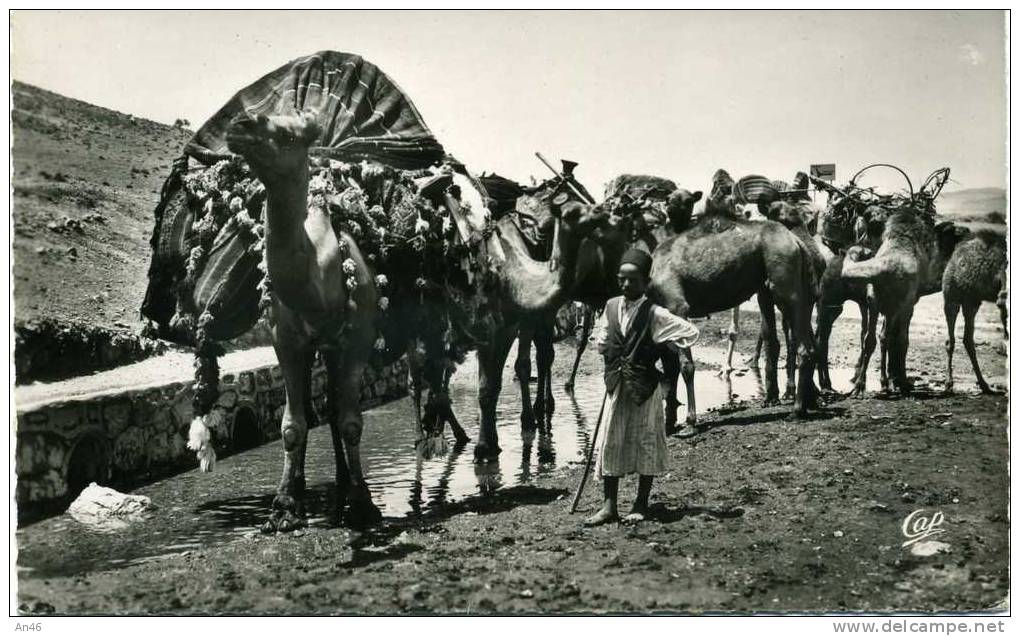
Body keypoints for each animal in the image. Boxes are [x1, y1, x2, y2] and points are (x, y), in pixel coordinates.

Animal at [836, 210, 971, 395]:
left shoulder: (883, 303)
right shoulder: (900, 303)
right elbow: (895, 340)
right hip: (898, 305)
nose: (967, 230)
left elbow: (880, 339)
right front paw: (897, 382)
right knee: (890, 337)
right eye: (953, 232)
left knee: (881, 338)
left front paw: (887, 382)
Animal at [942, 229, 1007, 393]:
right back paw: (949, 383)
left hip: (971, 300)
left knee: (966, 338)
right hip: (952, 295)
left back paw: (983, 384)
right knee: (952, 339)